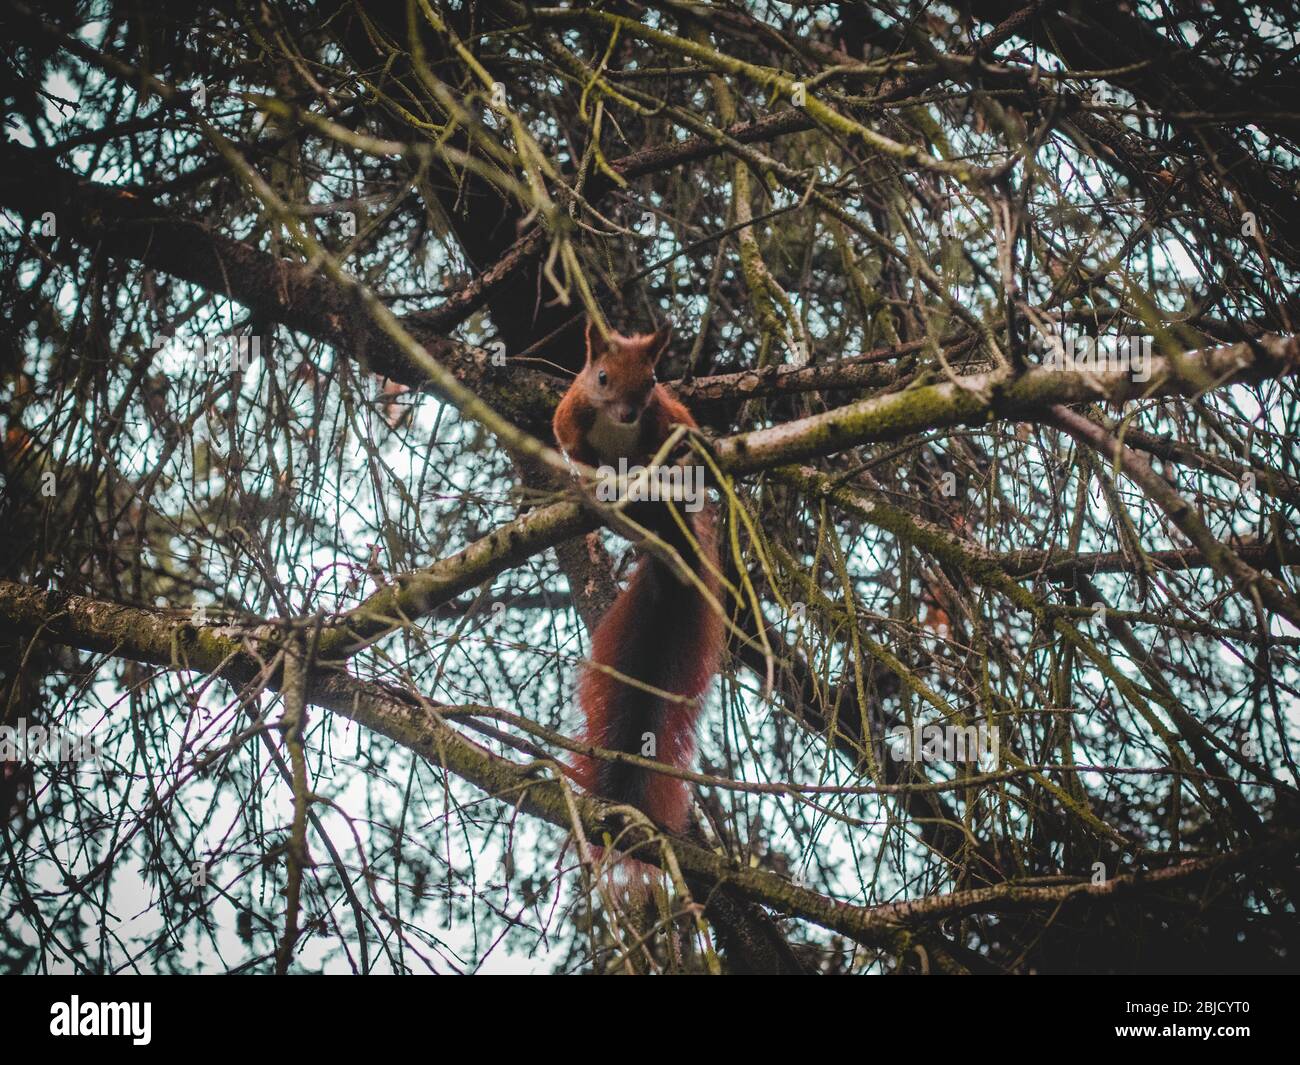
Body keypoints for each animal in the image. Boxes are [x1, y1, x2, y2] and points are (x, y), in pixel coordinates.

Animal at [552, 318, 724, 837]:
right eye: (602, 377)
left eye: (651, 381)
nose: (629, 413)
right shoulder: (571, 417)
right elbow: (572, 449)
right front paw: (594, 482)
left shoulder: (665, 415)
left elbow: (681, 430)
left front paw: (689, 447)